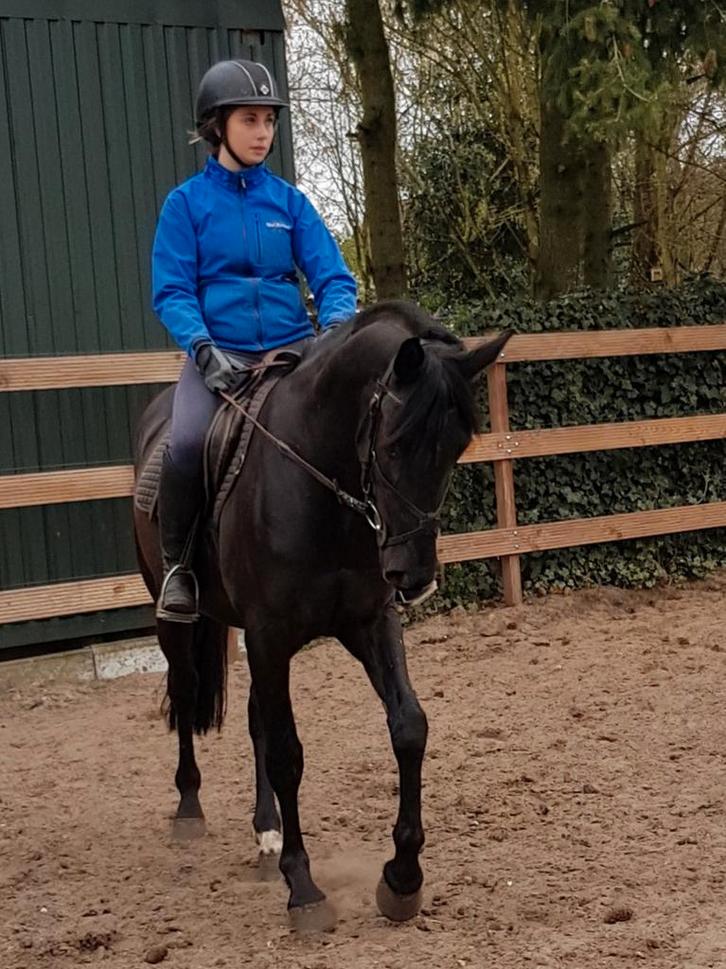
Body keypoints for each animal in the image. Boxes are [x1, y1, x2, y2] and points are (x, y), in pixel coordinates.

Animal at [133, 299, 510, 931]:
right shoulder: (270, 636)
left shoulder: (367, 623)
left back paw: (266, 834)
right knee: (186, 693)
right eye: (395, 445)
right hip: (176, 619)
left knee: (255, 718)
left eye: (457, 446)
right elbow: (288, 754)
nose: (413, 575)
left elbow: (409, 726)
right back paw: (189, 808)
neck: (320, 481)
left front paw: (402, 879)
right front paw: (304, 887)